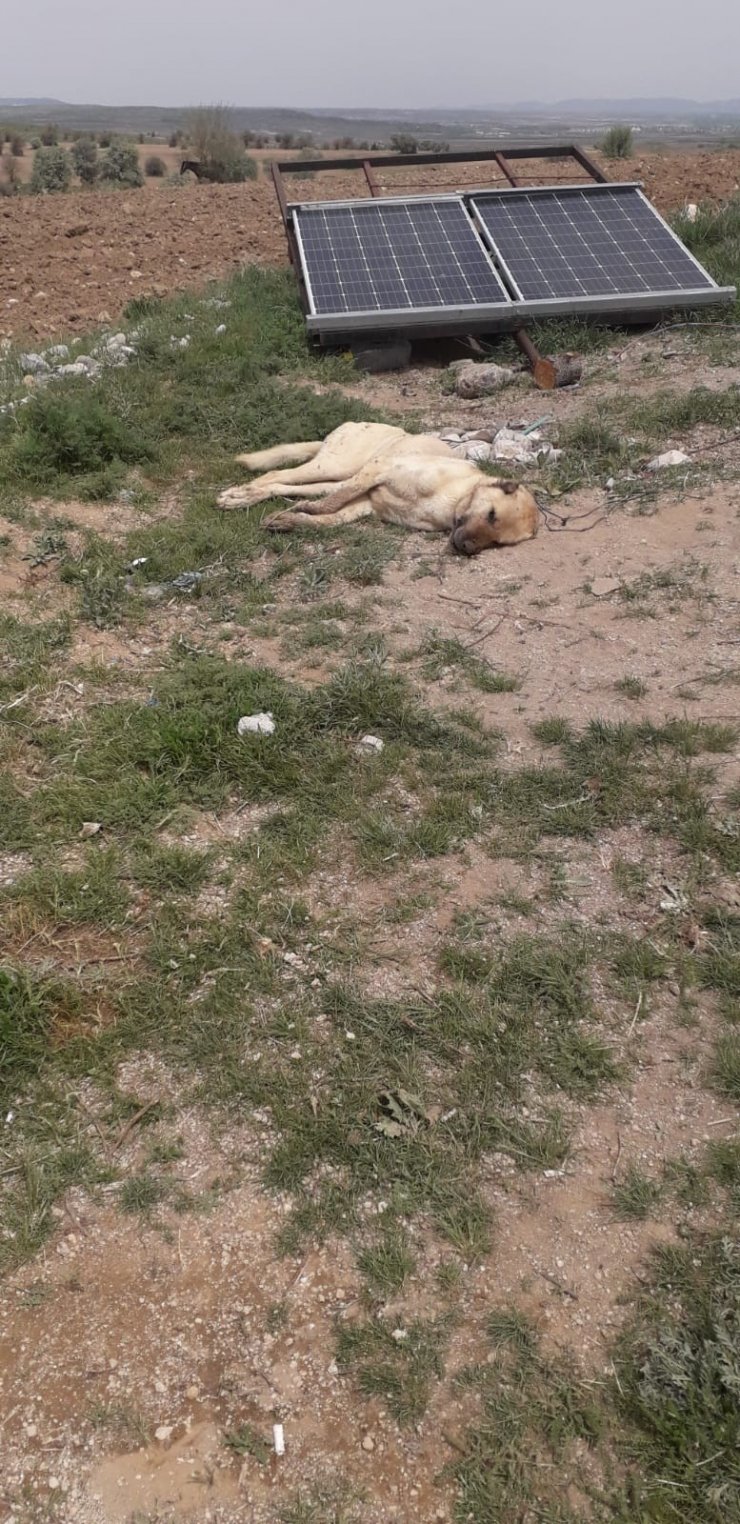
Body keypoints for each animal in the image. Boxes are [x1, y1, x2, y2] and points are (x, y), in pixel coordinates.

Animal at [216, 420, 542, 557]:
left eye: (498, 542)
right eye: (491, 514)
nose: (466, 549)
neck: (454, 498)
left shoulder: (363, 506)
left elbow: (324, 518)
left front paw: (289, 519)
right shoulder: (379, 469)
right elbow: (329, 505)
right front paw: (298, 512)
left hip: (336, 476)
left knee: (288, 484)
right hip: (340, 465)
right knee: (277, 473)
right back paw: (240, 495)